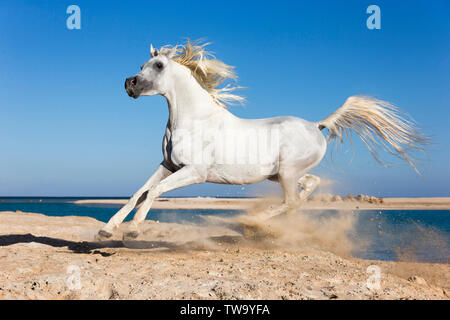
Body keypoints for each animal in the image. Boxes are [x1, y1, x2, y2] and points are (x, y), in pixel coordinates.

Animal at [96, 40, 428, 240]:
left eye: (159, 66)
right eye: (141, 66)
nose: (129, 83)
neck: (193, 119)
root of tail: (316, 125)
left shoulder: (194, 172)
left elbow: (154, 192)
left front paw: (134, 231)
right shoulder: (167, 165)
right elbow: (138, 193)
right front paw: (108, 230)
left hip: (286, 173)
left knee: (292, 202)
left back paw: (251, 223)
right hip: (280, 174)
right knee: (308, 187)